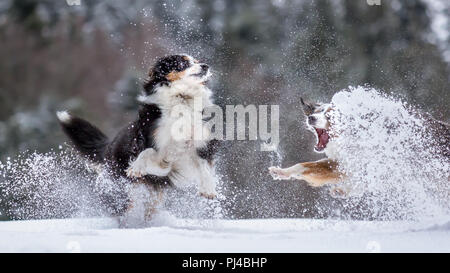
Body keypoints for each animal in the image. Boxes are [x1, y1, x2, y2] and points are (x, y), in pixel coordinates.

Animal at [58, 54, 220, 219]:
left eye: (197, 61)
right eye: (182, 63)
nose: (205, 66)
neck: (182, 98)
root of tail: (110, 144)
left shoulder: (196, 148)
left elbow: (205, 165)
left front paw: (209, 189)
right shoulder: (151, 144)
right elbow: (146, 151)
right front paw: (136, 167)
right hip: (120, 190)